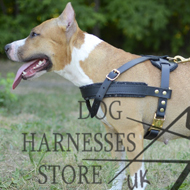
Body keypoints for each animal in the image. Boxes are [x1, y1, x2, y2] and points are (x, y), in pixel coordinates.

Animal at [3, 1, 190, 190]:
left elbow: (136, 176)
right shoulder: (114, 133)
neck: (108, 72)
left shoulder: (132, 132)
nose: (6, 48)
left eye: (34, 34)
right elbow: (118, 172)